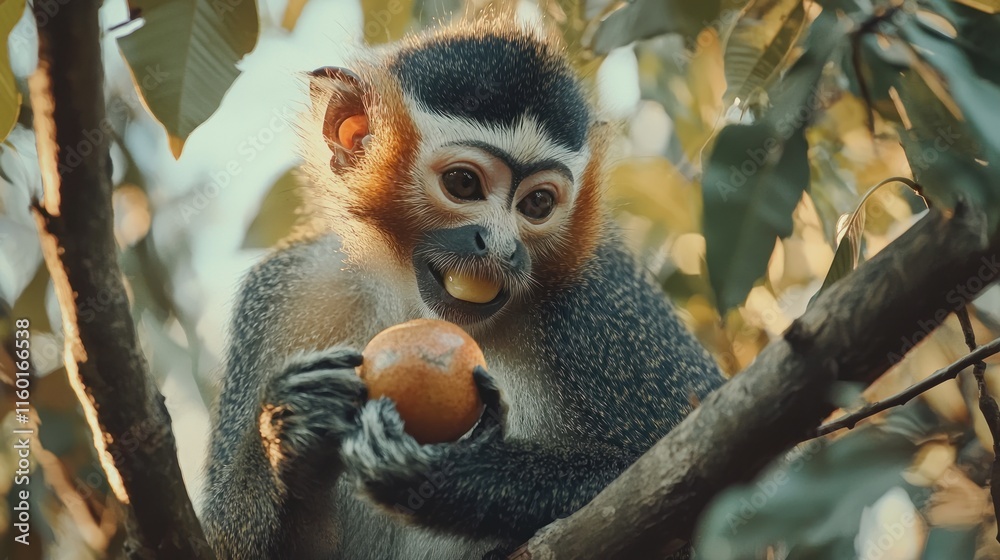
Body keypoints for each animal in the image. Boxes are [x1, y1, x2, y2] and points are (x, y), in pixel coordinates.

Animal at [201, 19, 726, 560]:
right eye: (463, 184)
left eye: (537, 204)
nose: (501, 246)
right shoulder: (285, 289)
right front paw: (292, 428)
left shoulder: (605, 294)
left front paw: (445, 470)